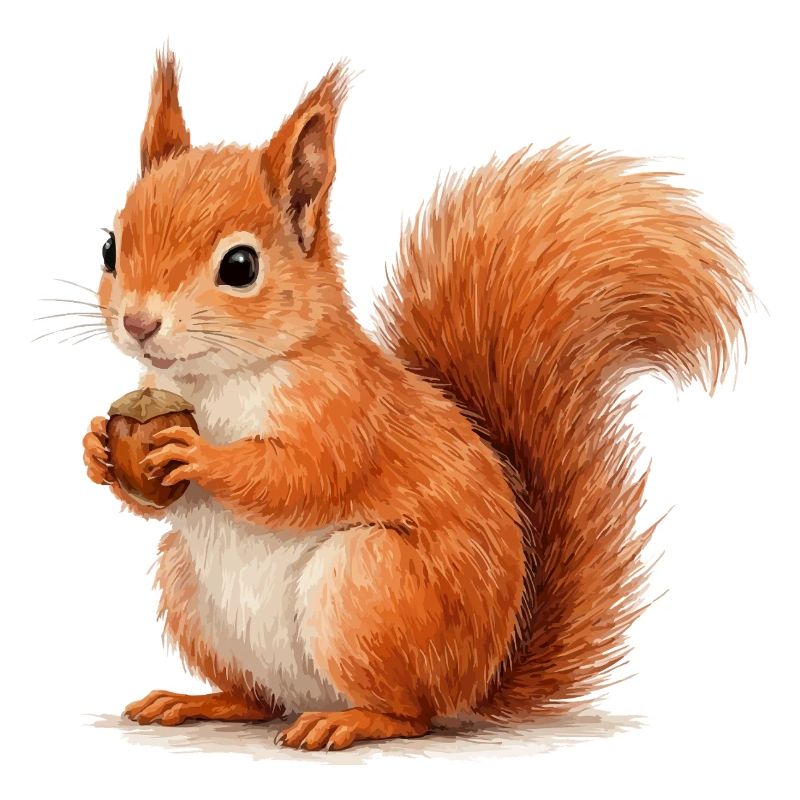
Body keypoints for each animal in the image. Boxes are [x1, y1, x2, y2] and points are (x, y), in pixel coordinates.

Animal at [82, 50, 748, 750]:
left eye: (240, 266)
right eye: (110, 247)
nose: (139, 324)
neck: (214, 379)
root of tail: (476, 686)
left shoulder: (347, 410)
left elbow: (300, 478)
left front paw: (199, 455)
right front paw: (97, 446)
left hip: (370, 586)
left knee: (411, 714)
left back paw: (347, 721)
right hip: (189, 590)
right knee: (260, 699)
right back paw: (200, 700)